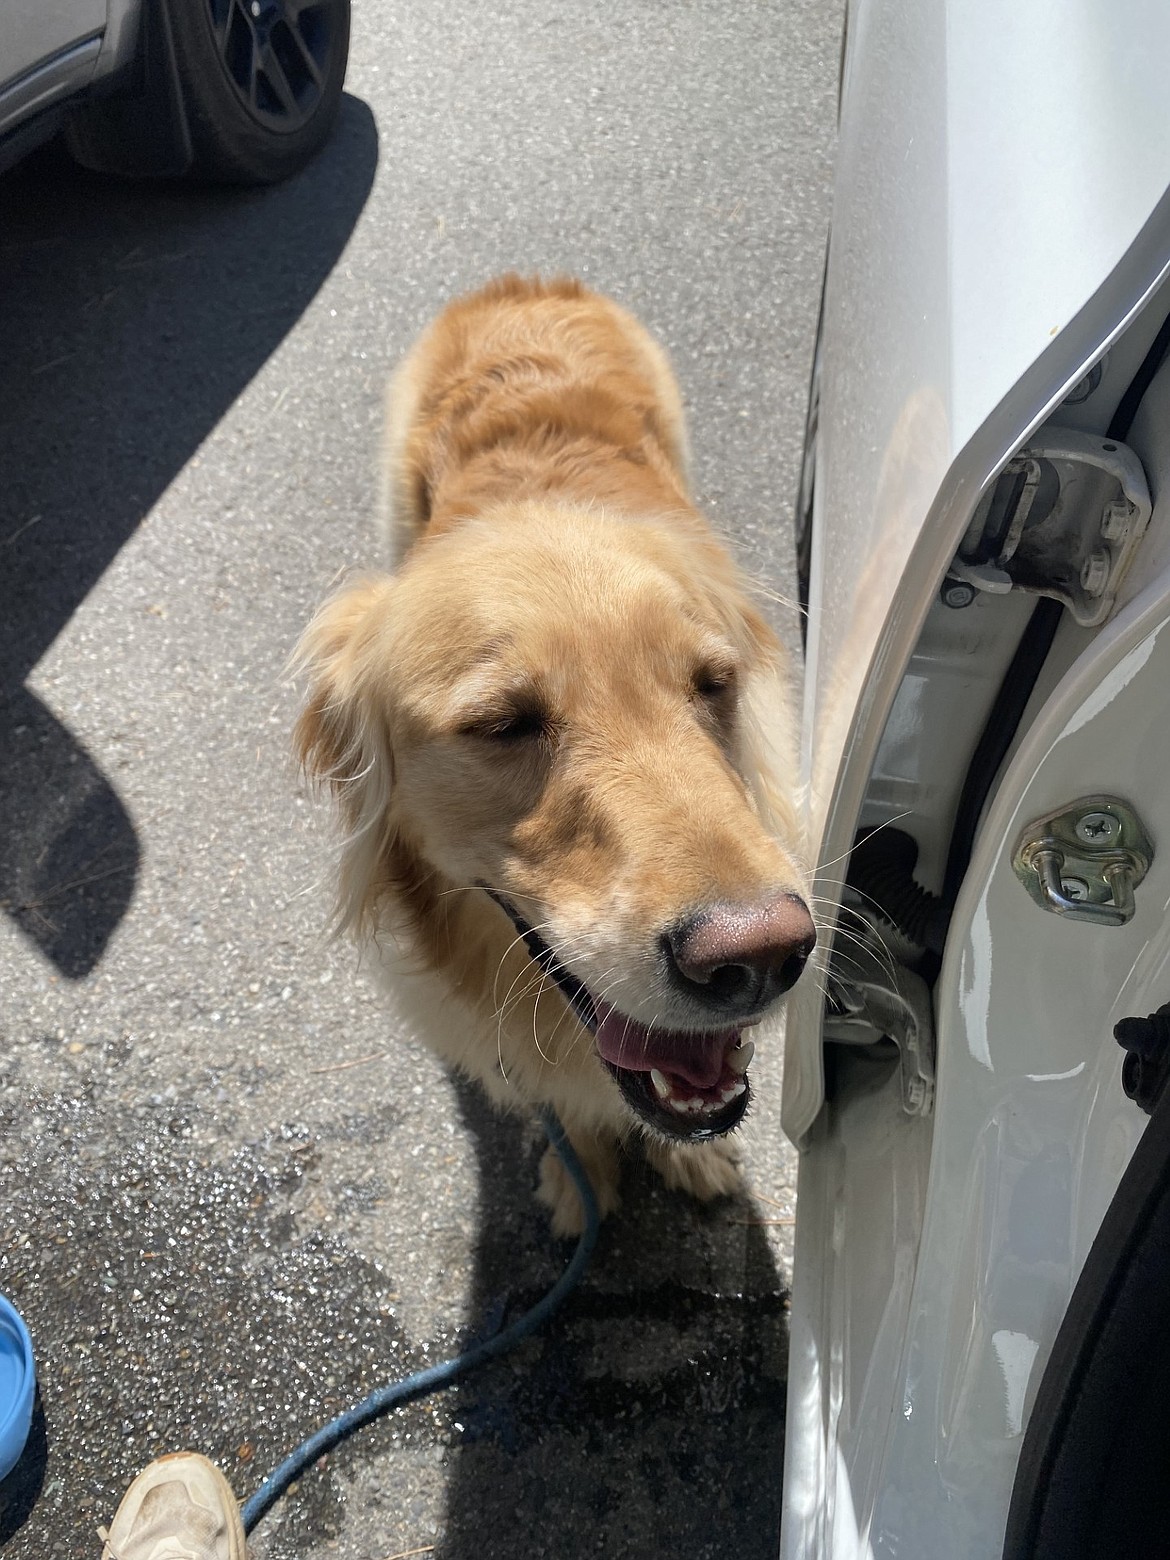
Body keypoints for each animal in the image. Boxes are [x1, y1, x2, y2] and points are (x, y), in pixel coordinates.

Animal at [294, 277, 817, 1229]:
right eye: (504, 723)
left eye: (713, 684)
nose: (763, 954)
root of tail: (520, 282)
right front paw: (578, 1173)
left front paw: (693, 1155)